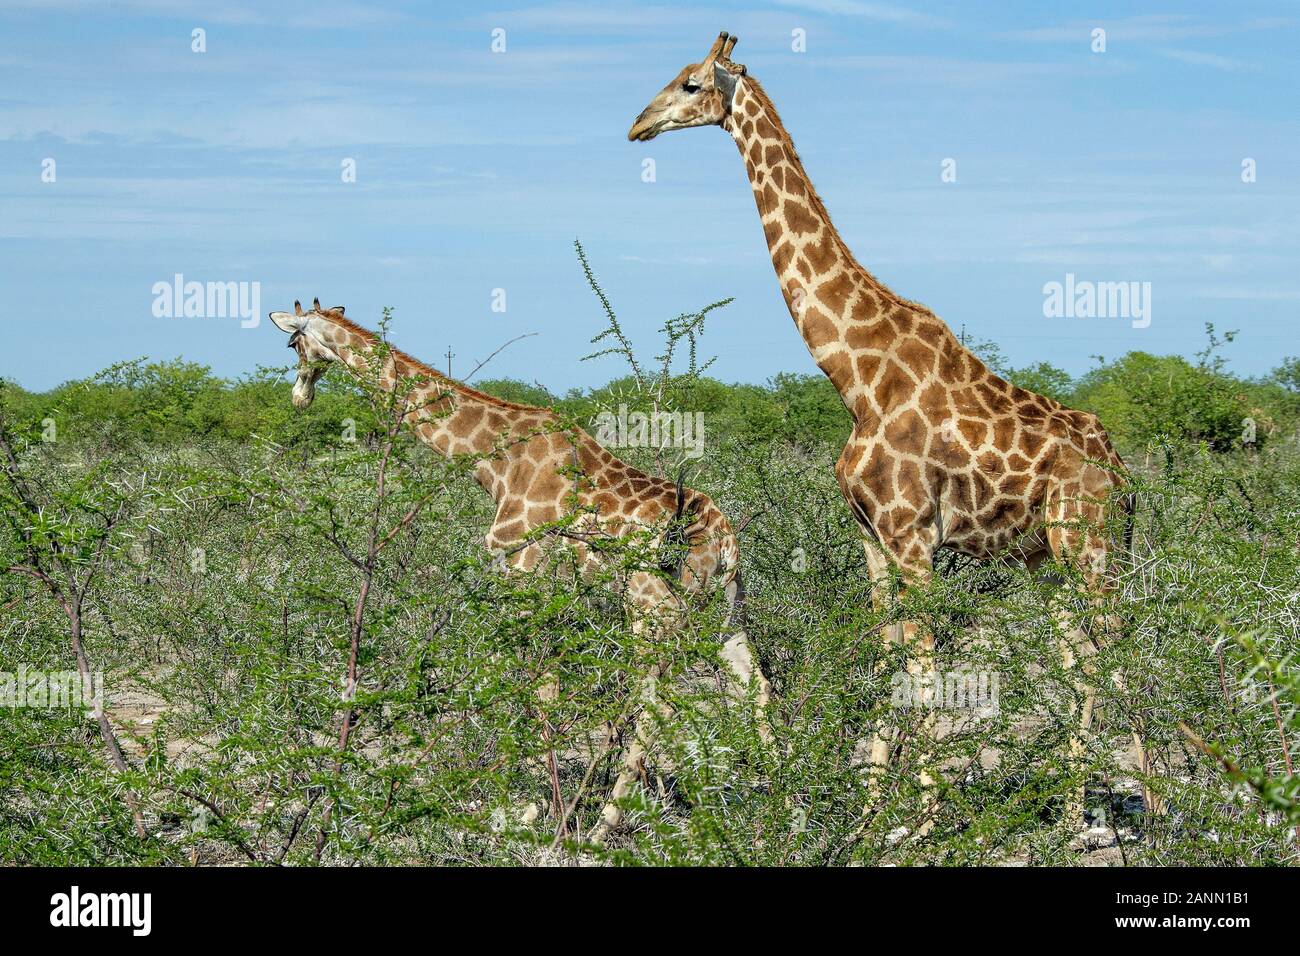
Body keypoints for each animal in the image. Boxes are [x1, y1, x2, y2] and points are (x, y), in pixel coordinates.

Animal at [268, 299, 773, 842]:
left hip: (652, 608)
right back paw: (780, 795)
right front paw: (545, 805)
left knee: (656, 704)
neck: (494, 461)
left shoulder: (521, 571)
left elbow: (531, 690)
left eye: (293, 342)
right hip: (726, 608)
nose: (299, 396)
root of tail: (722, 539)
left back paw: (604, 824)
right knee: (756, 685)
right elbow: (543, 688)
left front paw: (532, 809)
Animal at [629, 33, 1155, 828]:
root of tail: (1123, 472)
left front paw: (924, 820)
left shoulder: (914, 539)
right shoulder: (873, 539)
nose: (639, 125)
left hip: (1089, 544)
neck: (853, 376)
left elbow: (926, 667)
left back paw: (1154, 805)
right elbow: (885, 659)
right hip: (1050, 558)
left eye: (690, 84)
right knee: (1081, 658)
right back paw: (1072, 811)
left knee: (1118, 651)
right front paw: (874, 812)